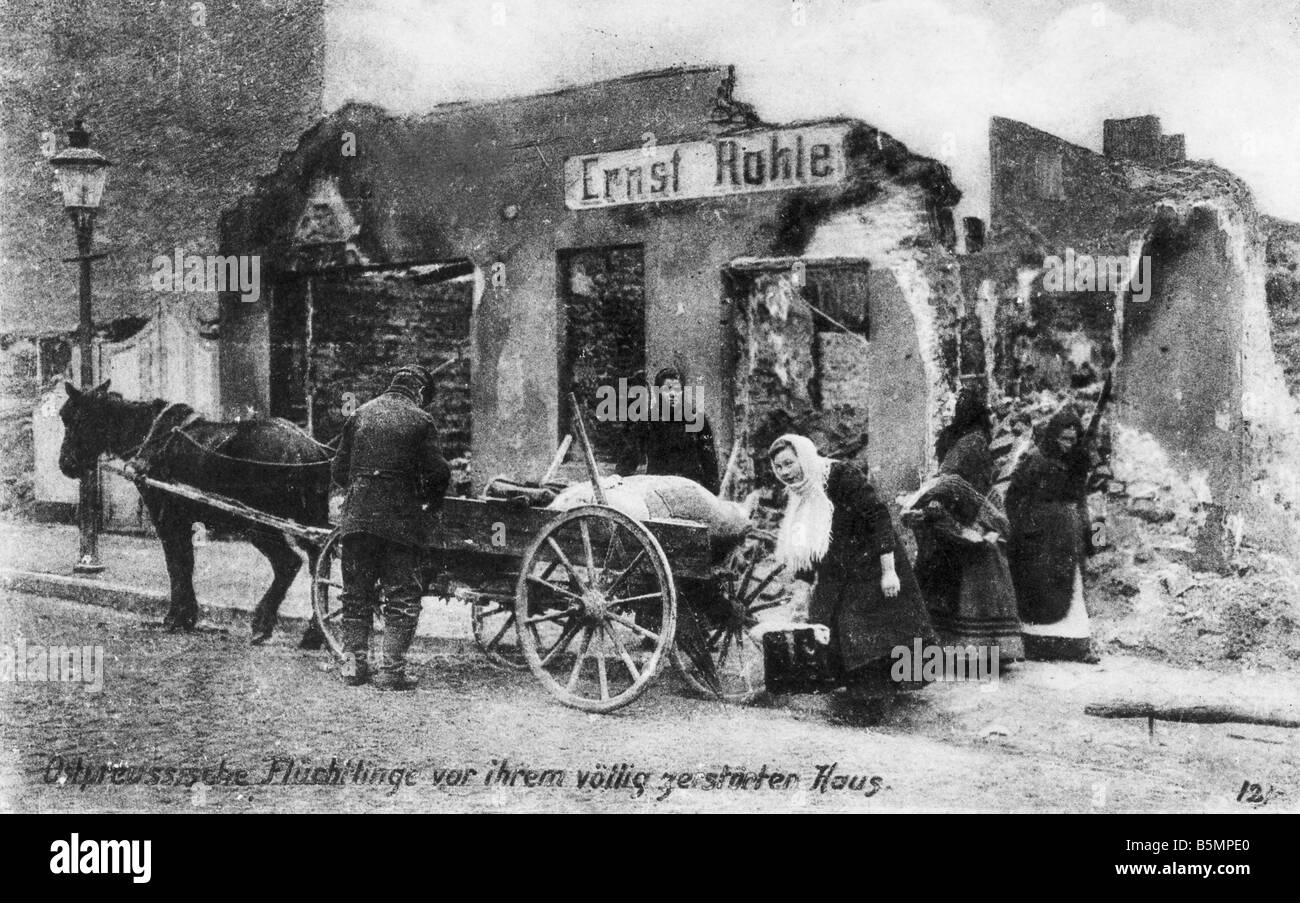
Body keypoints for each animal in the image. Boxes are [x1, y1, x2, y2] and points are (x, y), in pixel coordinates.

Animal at [59, 376, 330, 647]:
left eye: (76, 417)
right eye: (63, 416)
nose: (65, 464)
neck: (149, 435)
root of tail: (307, 448)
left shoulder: (166, 518)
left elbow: (176, 564)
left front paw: (175, 617)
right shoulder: (184, 520)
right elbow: (186, 563)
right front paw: (188, 616)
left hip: (259, 524)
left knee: (288, 563)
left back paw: (264, 623)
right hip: (308, 519)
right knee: (319, 562)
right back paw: (315, 632)